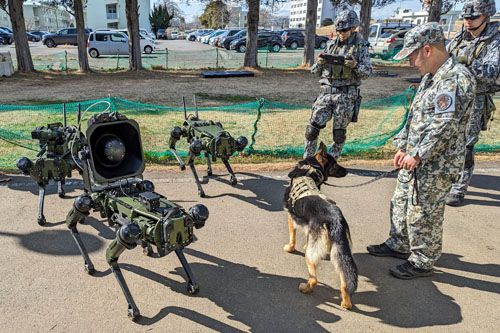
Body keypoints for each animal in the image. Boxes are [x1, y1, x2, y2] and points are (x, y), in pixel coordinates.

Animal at [284, 143, 358, 308]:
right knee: (345, 281)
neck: (310, 169)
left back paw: (305, 288)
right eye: (335, 164)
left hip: (310, 257)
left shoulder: (291, 218)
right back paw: (346, 303)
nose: (347, 171)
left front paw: (290, 248)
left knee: (314, 279)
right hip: (339, 254)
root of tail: (335, 220)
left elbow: (292, 237)